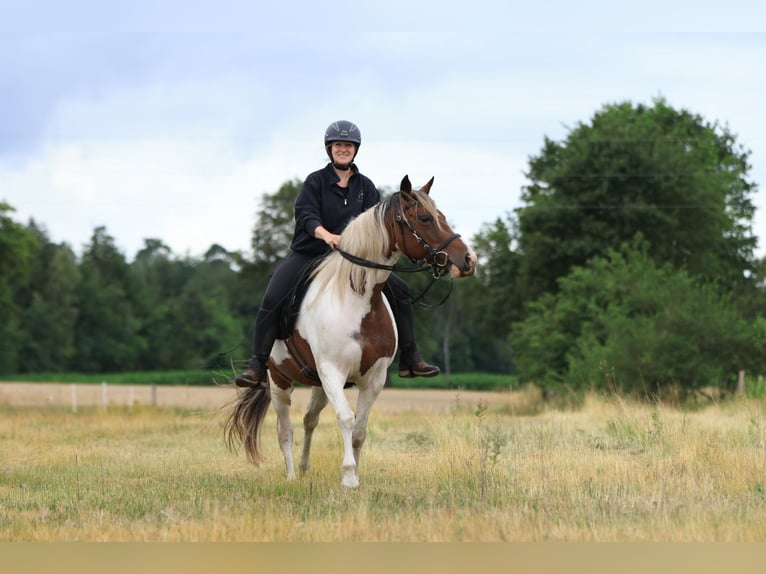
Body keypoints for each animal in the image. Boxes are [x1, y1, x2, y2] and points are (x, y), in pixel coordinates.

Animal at [224, 175, 477, 488]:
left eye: (441, 216)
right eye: (425, 218)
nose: (468, 260)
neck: (356, 297)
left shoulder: (373, 379)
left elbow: (359, 429)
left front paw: (355, 473)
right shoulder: (332, 371)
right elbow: (345, 419)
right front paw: (348, 477)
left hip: (318, 384)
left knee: (309, 419)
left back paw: (305, 467)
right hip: (279, 381)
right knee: (285, 430)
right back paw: (292, 475)